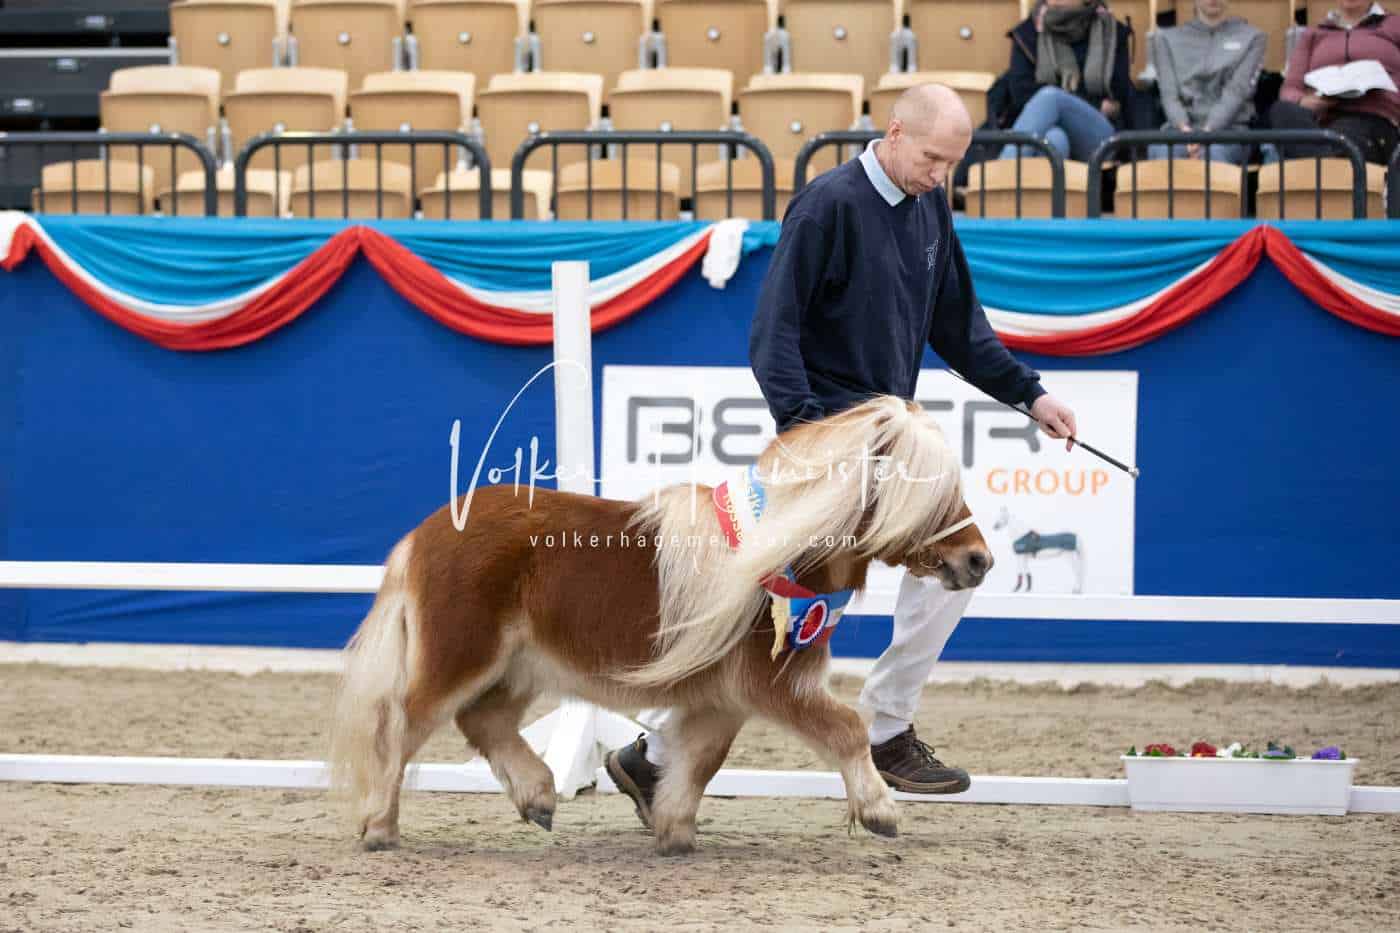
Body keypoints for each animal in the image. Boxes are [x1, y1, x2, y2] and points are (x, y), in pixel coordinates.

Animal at [327, 396, 993, 855]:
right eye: (930, 491)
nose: (979, 561)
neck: (781, 552)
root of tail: (426, 532)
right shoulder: (775, 685)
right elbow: (849, 730)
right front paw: (880, 812)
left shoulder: (723, 697)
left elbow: (700, 759)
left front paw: (673, 828)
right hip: (463, 657)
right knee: (401, 726)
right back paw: (379, 826)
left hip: (518, 666)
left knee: (482, 721)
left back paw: (538, 796)